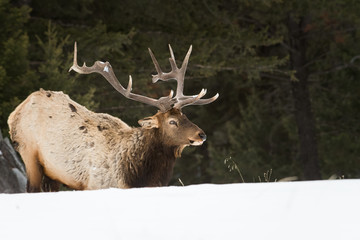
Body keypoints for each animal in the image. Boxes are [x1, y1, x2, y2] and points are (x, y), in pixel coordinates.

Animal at [7, 42, 217, 192]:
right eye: (172, 121)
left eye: (185, 116)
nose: (202, 135)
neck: (136, 176)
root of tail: (16, 111)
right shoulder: (95, 185)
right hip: (28, 152)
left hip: (52, 172)